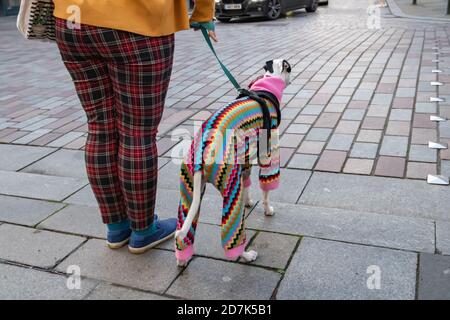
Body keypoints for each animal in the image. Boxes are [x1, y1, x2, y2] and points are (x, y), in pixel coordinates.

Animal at [172, 58, 292, 266]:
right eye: (290, 68)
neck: (265, 88)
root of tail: (204, 152)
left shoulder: (245, 159)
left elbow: (248, 185)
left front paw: (249, 201)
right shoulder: (269, 156)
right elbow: (266, 190)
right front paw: (267, 209)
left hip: (189, 190)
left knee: (184, 229)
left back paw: (182, 260)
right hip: (230, 189)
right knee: (232, 235)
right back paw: (246, 255)